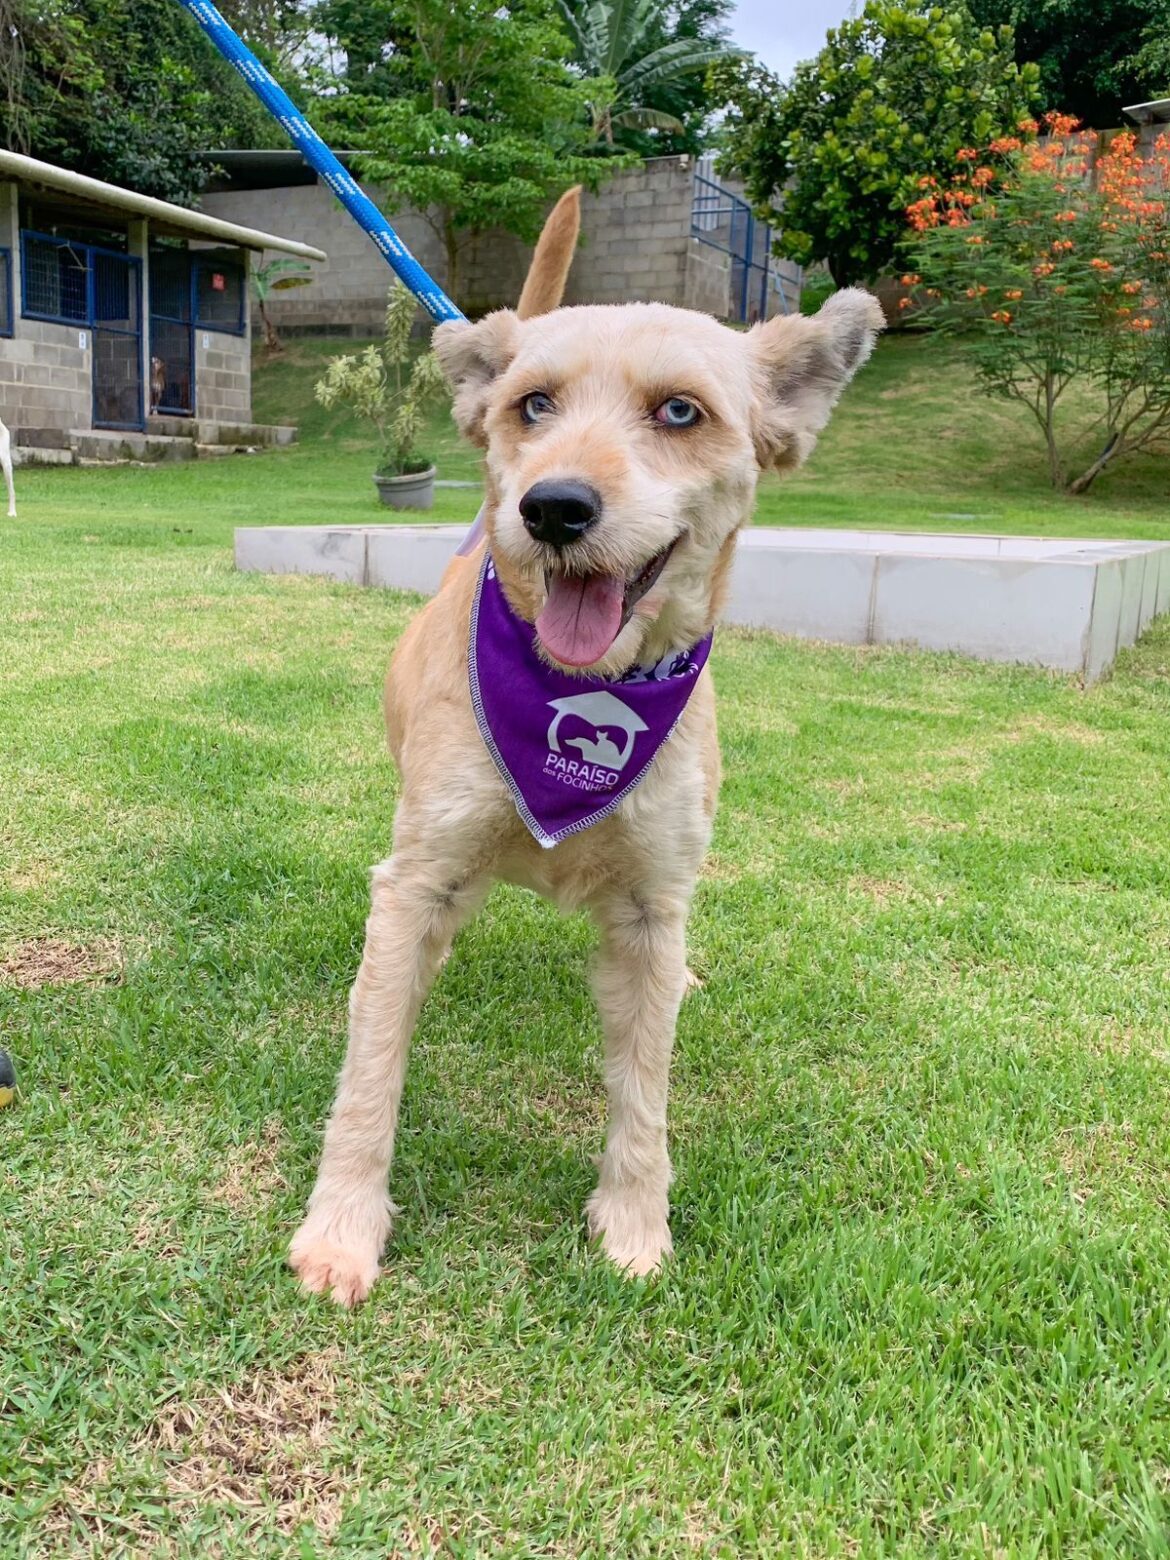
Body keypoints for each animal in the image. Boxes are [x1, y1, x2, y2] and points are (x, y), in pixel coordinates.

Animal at [288, 191, 886, 1304]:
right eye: (534, 405)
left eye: (681, 412)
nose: (552, 508)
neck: (581, 692)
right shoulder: (420, 872)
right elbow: (371, 1070)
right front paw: (342, 1229)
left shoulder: (651, 905)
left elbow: (644, 1091)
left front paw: (634, 1227)